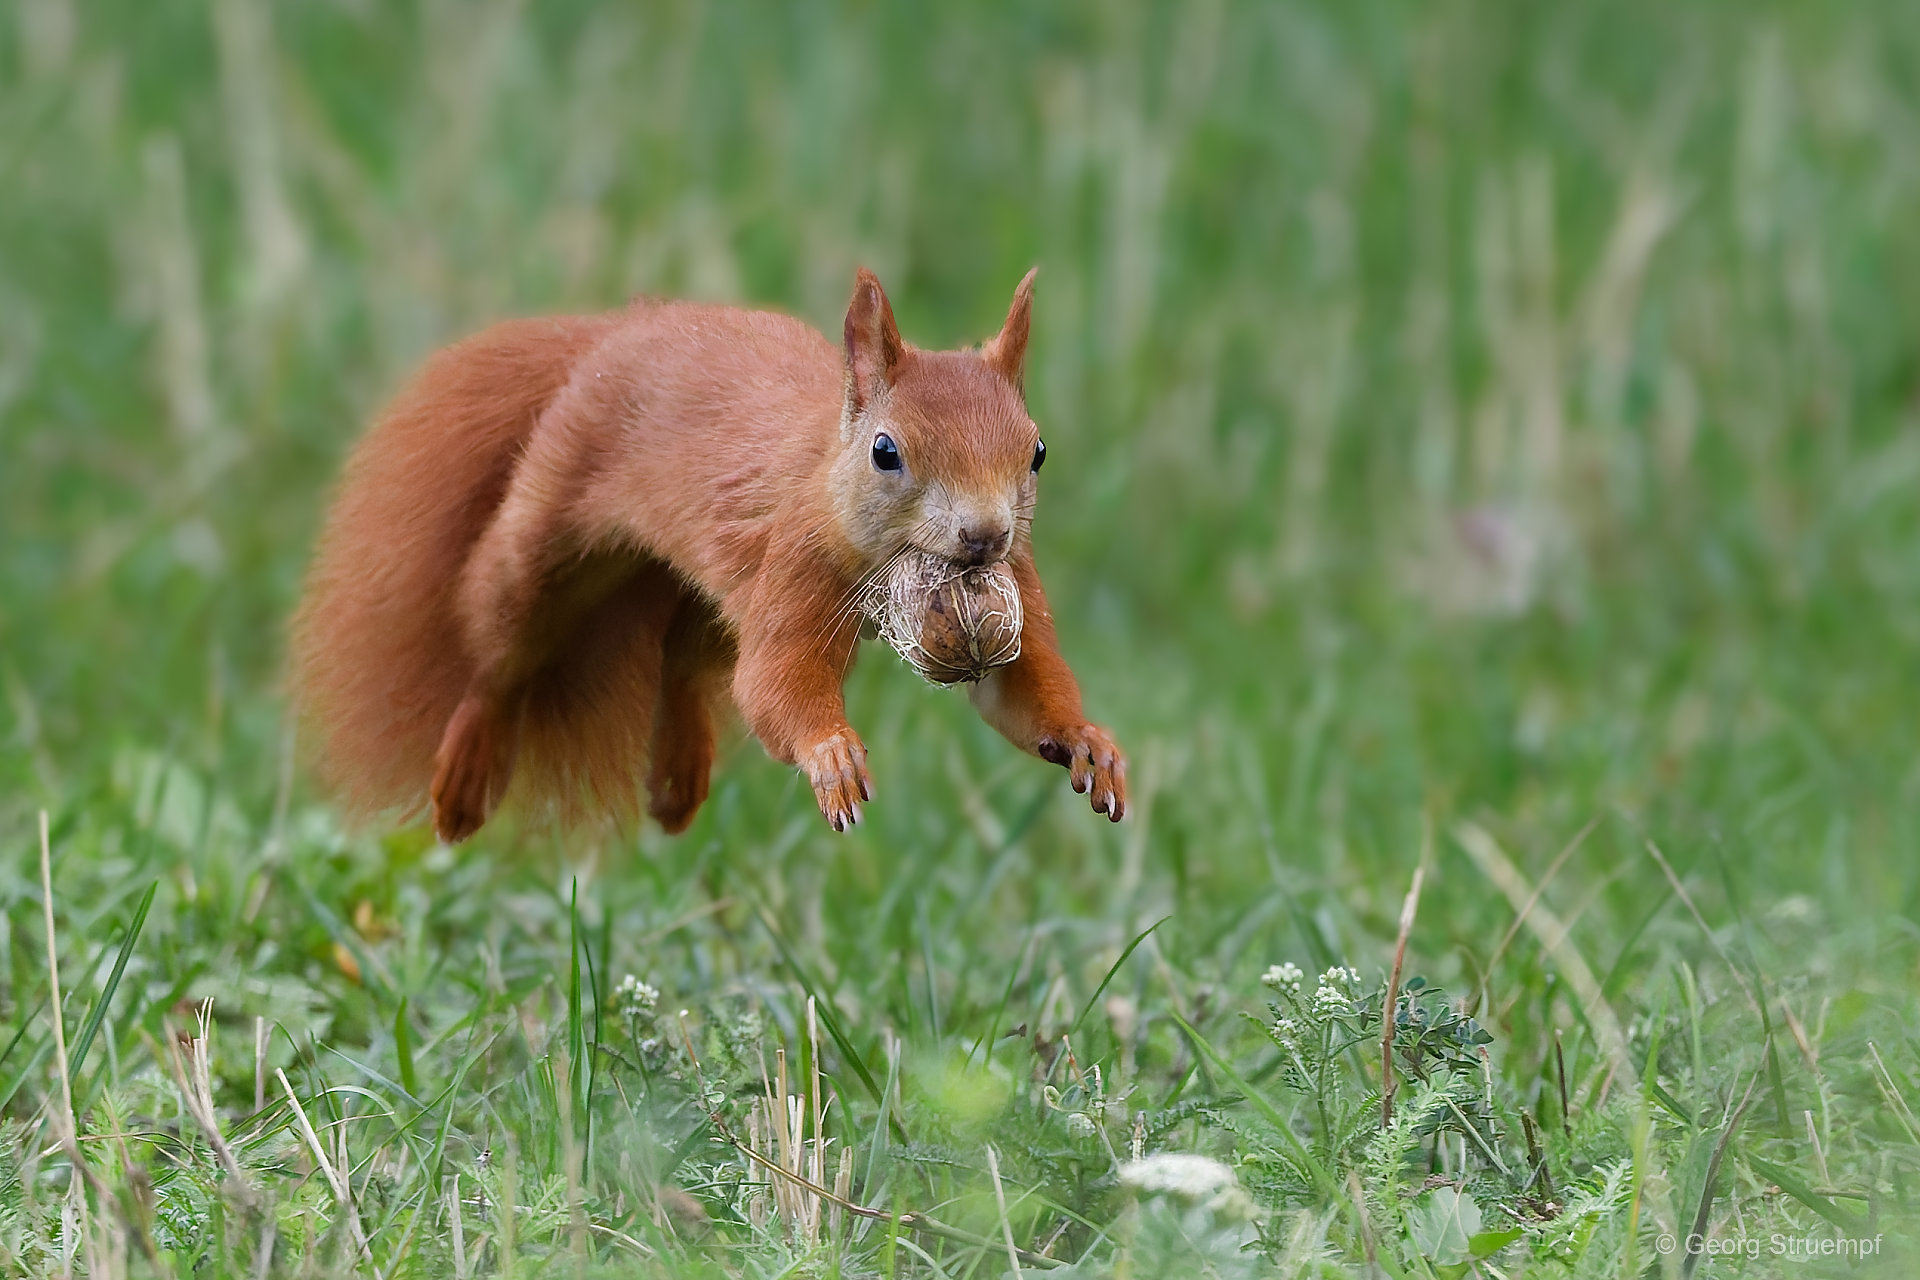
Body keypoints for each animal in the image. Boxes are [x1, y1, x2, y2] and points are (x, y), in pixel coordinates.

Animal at [291, 267, 1127, 843]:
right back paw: (466, 774)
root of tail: (618, 333)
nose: (986, 535)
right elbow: (776, 685)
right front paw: (830, 754)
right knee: (499, 655)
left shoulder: (1018, 580)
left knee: (687, 667)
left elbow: (1017, 693)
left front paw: (1090, 742)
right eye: (886, 452)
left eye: (1037, 452)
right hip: (541, 543)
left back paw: (678, 776)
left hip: (709, 594)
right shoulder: (797, 561)